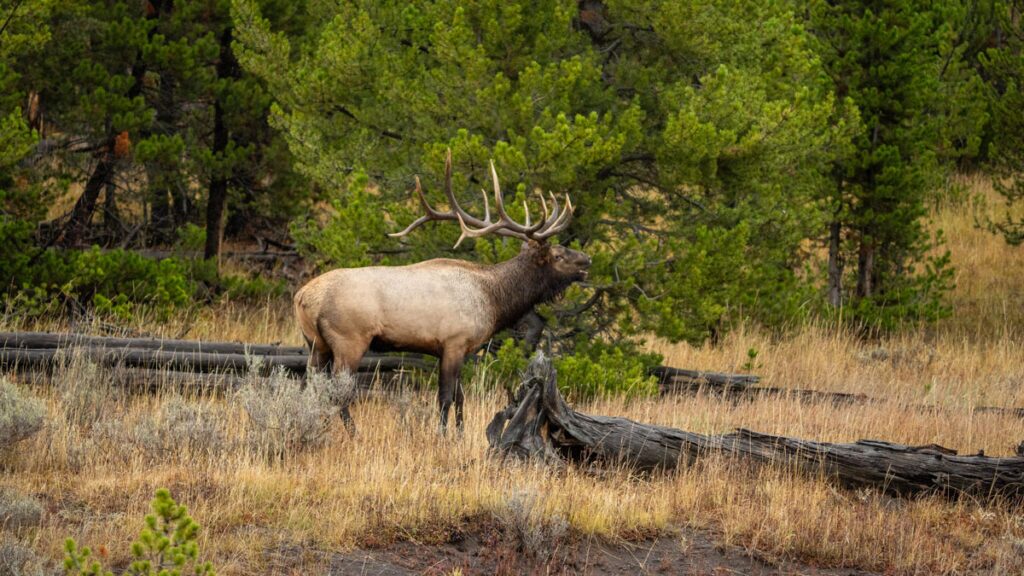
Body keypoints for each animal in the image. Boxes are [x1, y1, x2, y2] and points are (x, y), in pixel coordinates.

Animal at [293, 151, 591, 432]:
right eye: (557, 255)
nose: (587, 260)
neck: (493, 301)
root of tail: (302, 296)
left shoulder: (459, 348)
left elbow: (460, 397)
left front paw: (459, 434)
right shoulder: (454, 342)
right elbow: (446, 397)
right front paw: (442, 435)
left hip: (315, 344)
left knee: (308, 387)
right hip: (349, 340)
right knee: (338, 393)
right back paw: (353, 433)